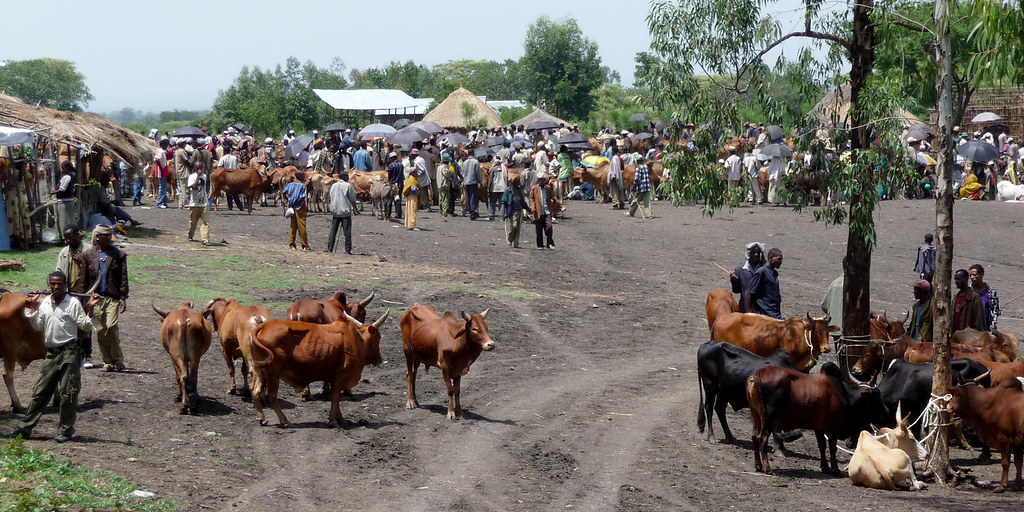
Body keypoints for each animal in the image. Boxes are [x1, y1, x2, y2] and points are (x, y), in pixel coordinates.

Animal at [249, 309, 389, 425]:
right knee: (270, 396)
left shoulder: (333, 377)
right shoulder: (341, 375)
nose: (379, 359)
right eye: (378, 338)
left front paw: (341, 419)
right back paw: (285, 421)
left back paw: (262, 418)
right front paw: (333, 420)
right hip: (273, 372)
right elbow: (336, 397)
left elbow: (336, 398)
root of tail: (263, 326)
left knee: (256, 392)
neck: (355, 339)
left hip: (260, 370)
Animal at [745, 362, 888, 473]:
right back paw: (767, 468)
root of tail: (758, 373)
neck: (844, 394)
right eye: (876, 396)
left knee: (754, 436)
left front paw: (825, 467)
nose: (886, 411)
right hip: (767, 419)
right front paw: (835, 469)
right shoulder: (832, 428)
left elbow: (822, 446)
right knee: (762, 438)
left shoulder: (819, 427)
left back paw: (758, 465)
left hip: (755, 416)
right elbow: (832, 447)